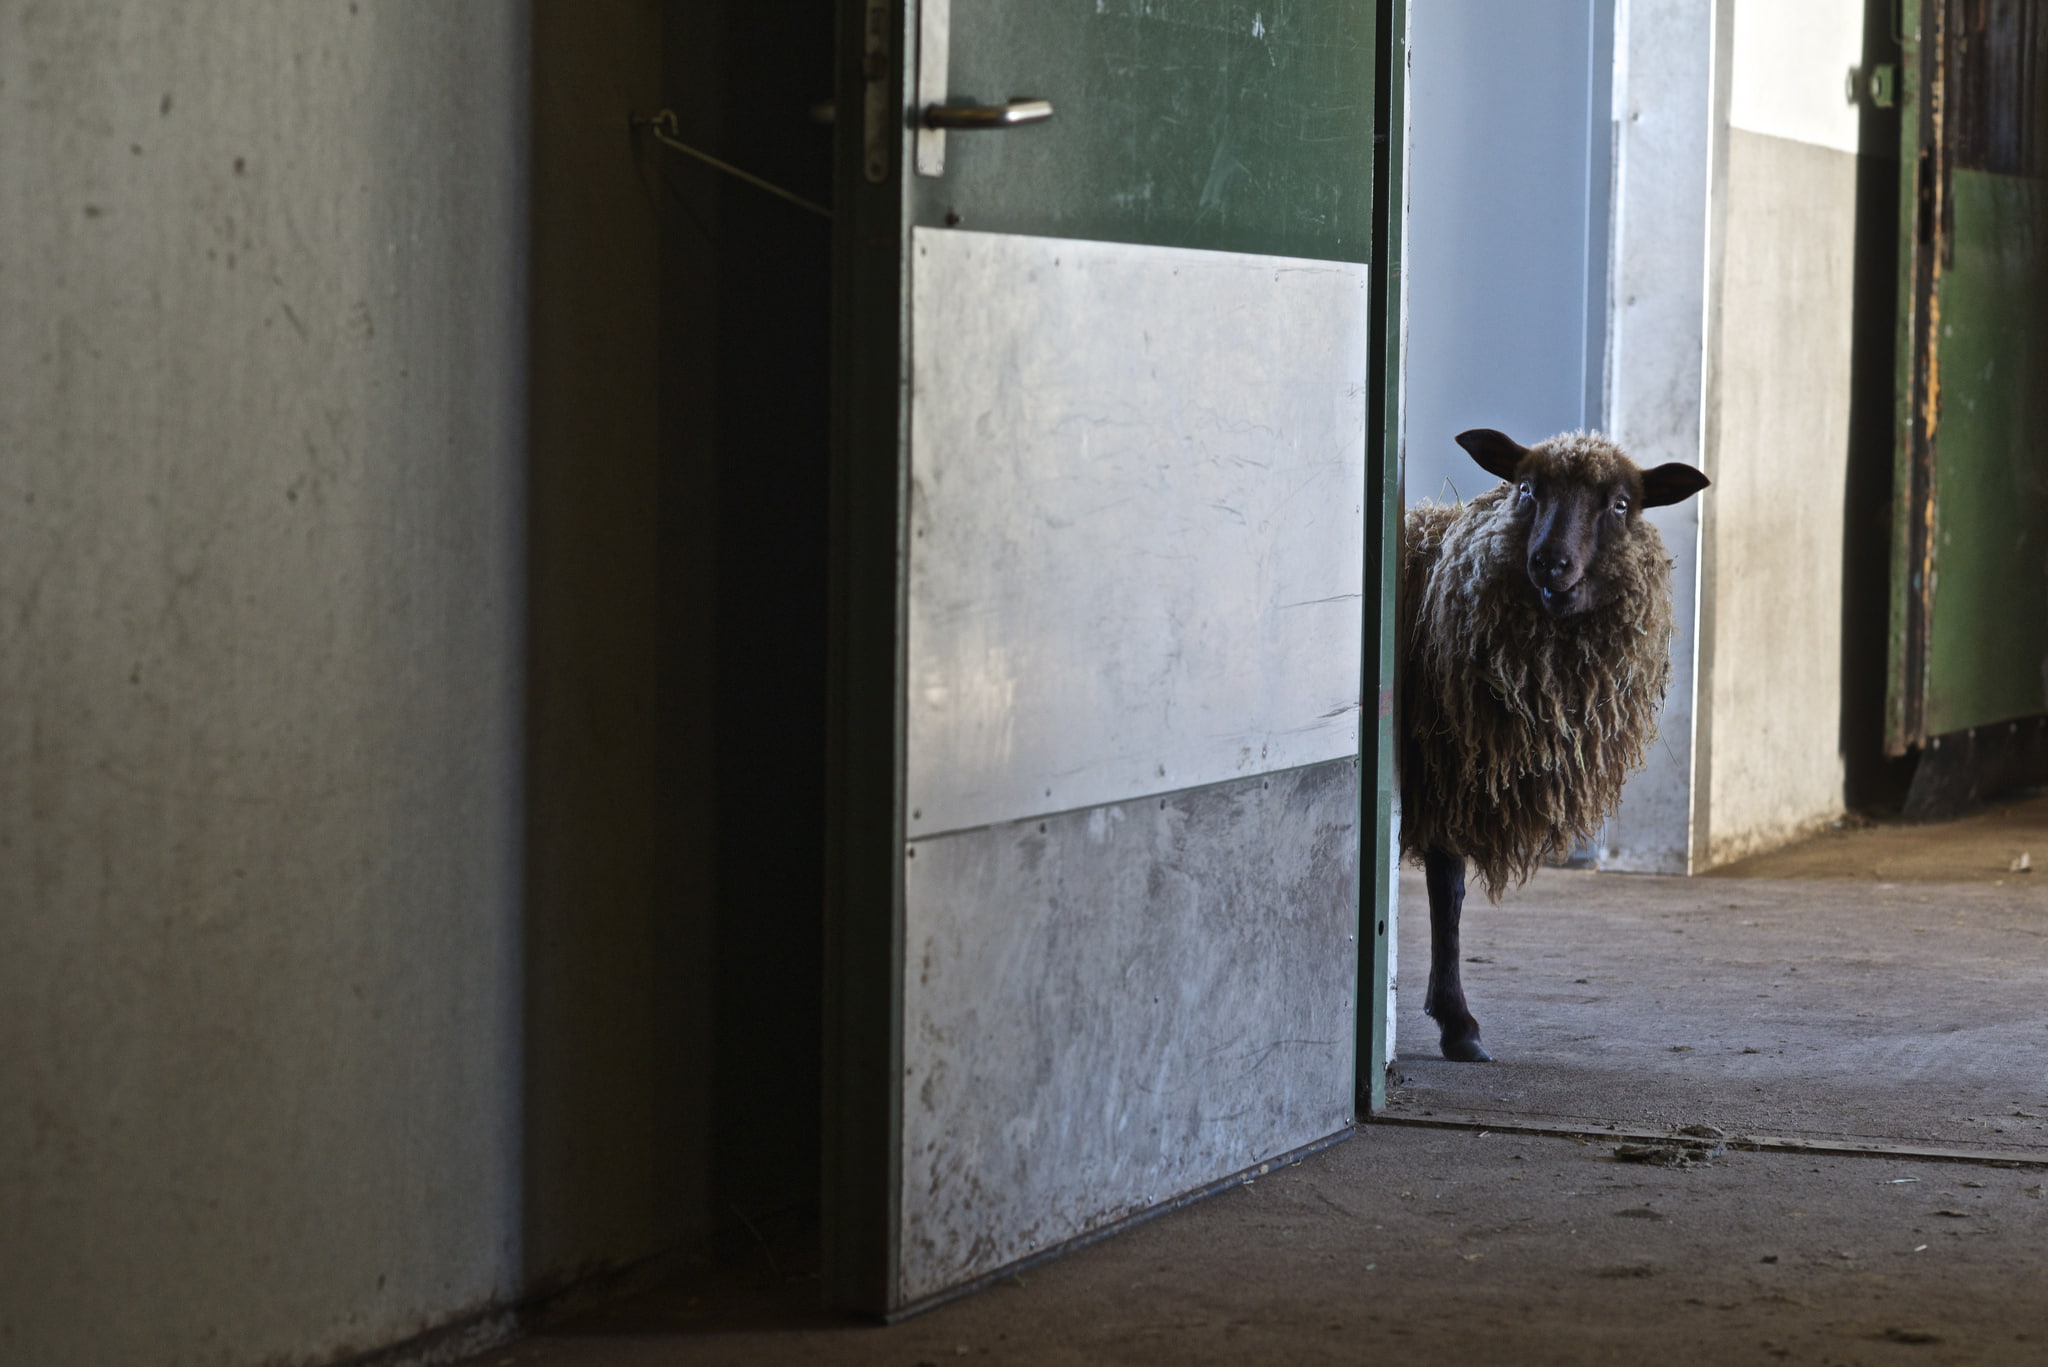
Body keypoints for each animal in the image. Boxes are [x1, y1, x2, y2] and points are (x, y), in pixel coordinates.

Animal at [1400, 428, 1709, 1062]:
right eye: (1526, 488)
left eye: (1621, 504)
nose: (1549, 562)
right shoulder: (1445, 776)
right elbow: (1448, 894)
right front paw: (1458, 1024)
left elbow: (1448, 894)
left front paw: (1454, 1022)